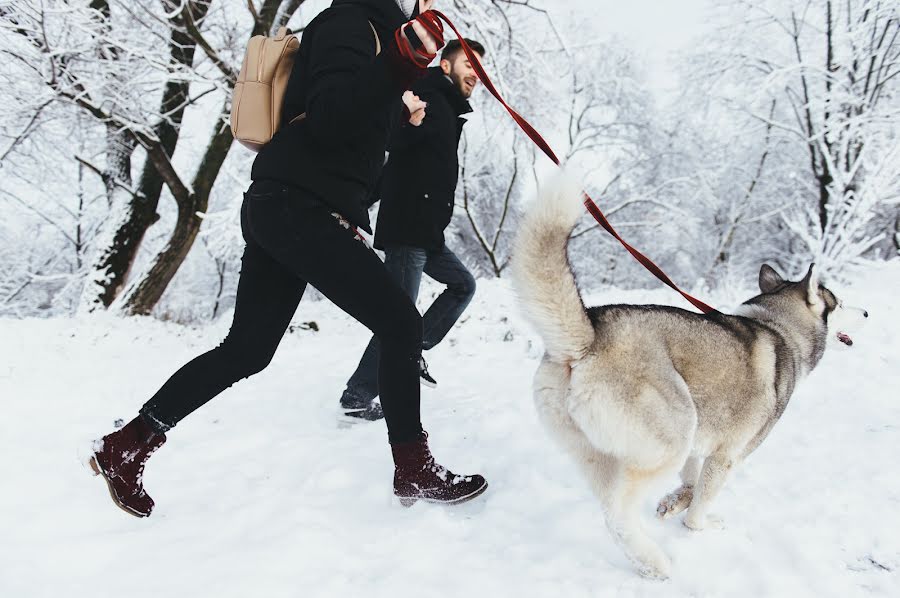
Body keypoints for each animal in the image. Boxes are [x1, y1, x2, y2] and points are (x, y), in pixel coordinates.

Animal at [510, 178, 868, 580]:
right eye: (839, 302)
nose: (867, 313)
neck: (779, 327)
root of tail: (587, 336)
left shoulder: (702, 443)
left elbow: (692, 481)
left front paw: (676, 500)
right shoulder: (727, 455)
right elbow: (700, 506)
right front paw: (699, 521)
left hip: (601, 450)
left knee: (609, 506)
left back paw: (646, 560)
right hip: (673, 433)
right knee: (619, 511)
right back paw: (657, 561)